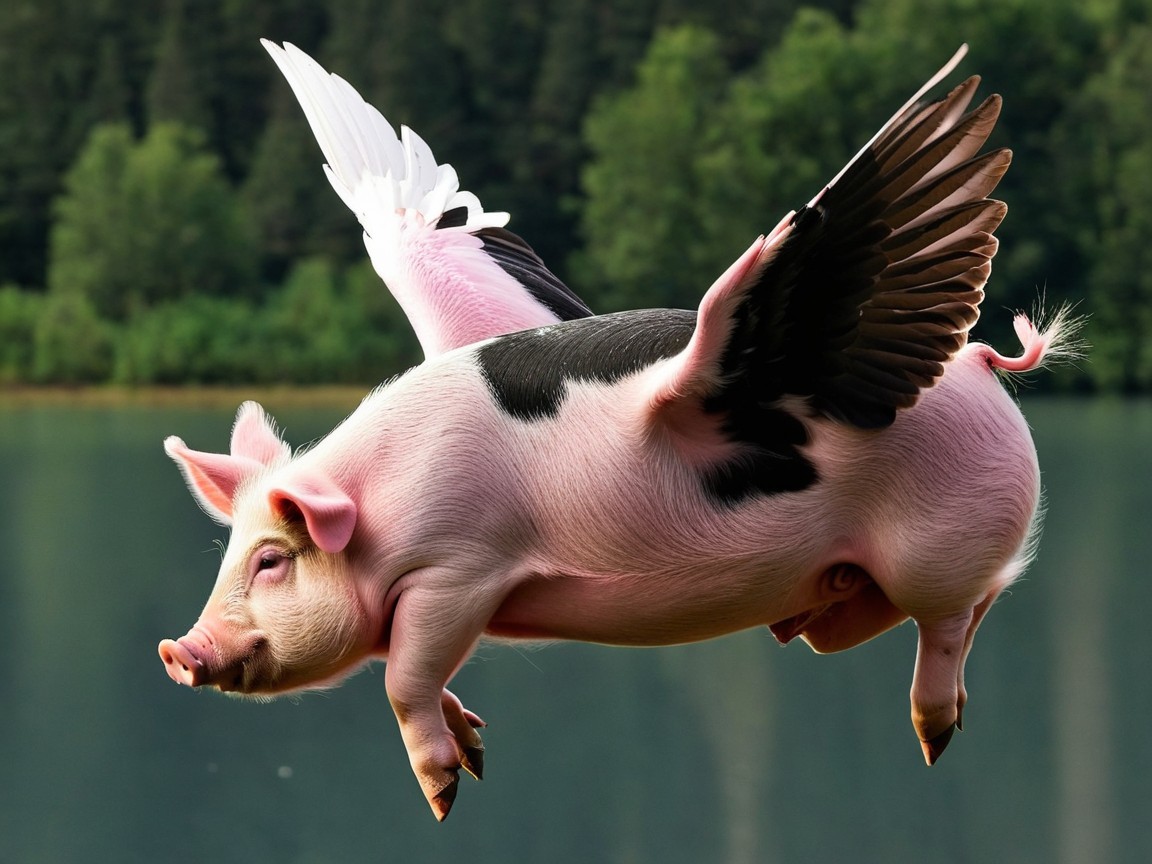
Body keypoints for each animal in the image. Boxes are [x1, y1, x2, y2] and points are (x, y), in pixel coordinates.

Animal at [158, 42, 1078, 820]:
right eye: (234, 553)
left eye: (273, 560)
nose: (179, 648)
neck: (384, 505)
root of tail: (978, 365)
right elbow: (409, 671)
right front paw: (477, 749)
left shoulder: (457, 570)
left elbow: (405, 676)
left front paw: (446, 793)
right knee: (966, 604)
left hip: (939, 542)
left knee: (953, 620)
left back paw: (932, 736)